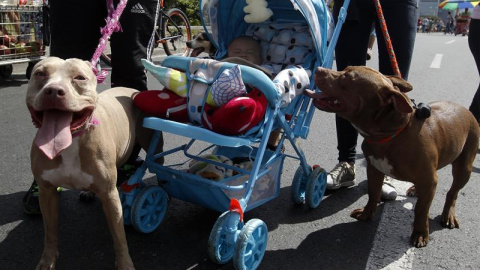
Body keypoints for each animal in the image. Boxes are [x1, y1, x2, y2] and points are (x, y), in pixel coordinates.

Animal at [26, 56, 163, 268]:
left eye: (79, 78)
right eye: (40, 74)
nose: (54, 91)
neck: (72, 140)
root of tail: (131, 90)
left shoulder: (109, 195)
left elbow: (119, 236)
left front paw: (125, 264)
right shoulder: (46, 191)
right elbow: (49, 232)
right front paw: (47, 260)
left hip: (153, 143)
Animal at [306, 66, 478, 248]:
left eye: (347, 77)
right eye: (344, 69)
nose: (318, 69)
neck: (392, 134)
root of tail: (465, 109)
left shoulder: (429, 180)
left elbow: (422, 210)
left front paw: (420, 233)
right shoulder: (374, 170)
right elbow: (373, 193)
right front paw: (366, 213)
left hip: (464, 167)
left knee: (453, 192)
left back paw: (448, 214)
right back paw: (416, 189)